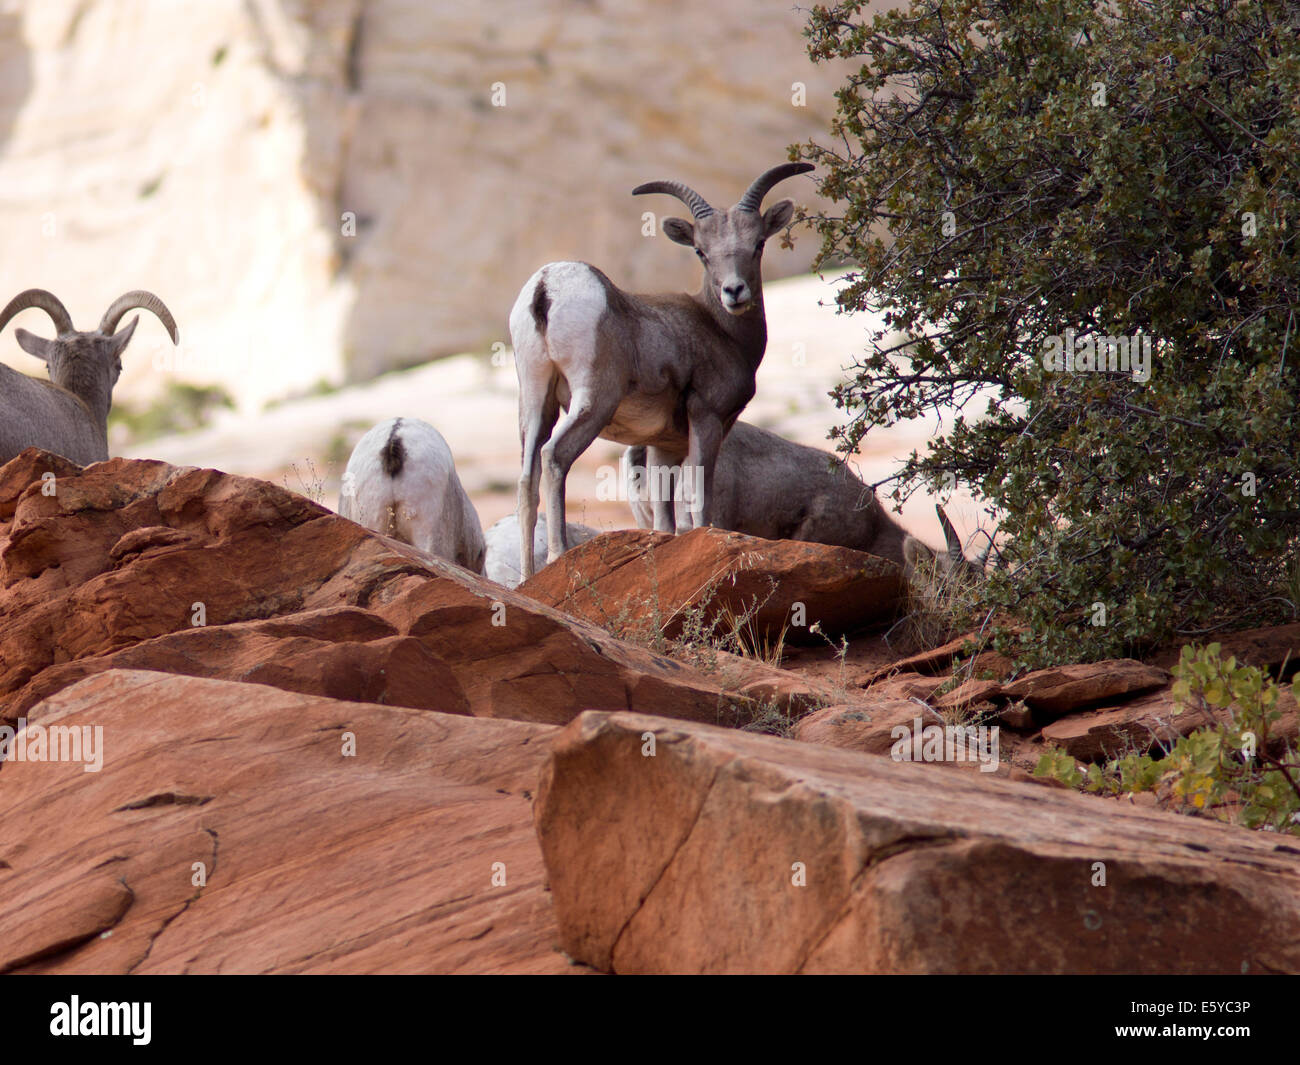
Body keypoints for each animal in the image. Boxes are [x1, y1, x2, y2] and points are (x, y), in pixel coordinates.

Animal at [510, 161, 815, 581]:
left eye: (757, 244)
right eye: (701, 251)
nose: (734, 292)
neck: (720, 330)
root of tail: (547, 286)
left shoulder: (662, 444)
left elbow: (665, 517)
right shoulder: (707, 419)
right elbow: (699, 497)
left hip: (536, 401)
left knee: (527, 478)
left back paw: (527, 577)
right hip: (593, 401)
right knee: (555, 457)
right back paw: (558, 556)